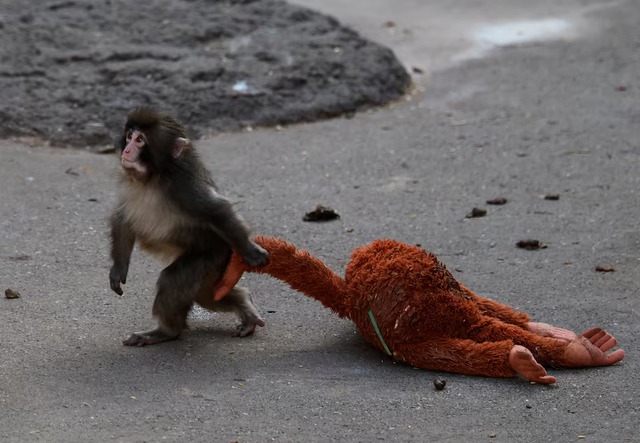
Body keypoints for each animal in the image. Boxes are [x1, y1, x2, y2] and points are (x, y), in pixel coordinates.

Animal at [109, 108, 269, 346]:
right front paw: (118, 269)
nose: (127, 150)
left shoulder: (183, 188)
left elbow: (216, 209)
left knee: (174, 281)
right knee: (209, 296)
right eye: (129, 136)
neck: (153, 178)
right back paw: (244, 303)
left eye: (140, 140)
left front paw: (251, 251)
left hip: (211, 256)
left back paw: (166, 331)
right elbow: (122, 219)